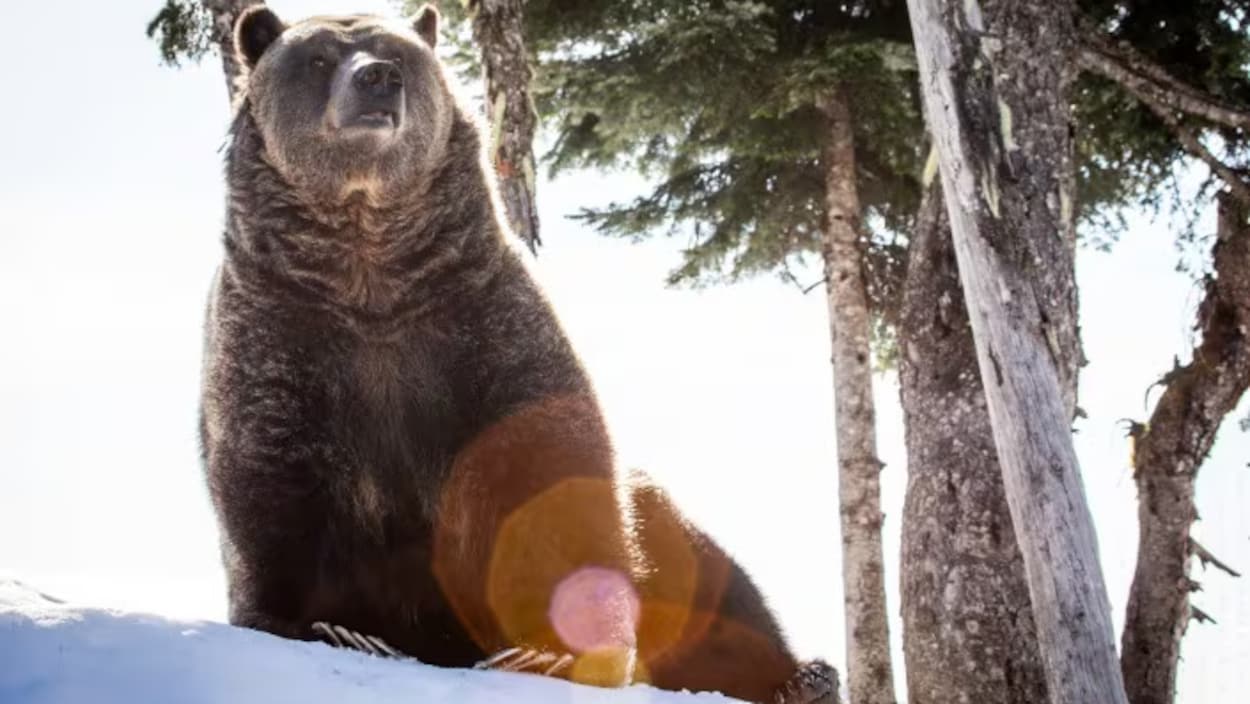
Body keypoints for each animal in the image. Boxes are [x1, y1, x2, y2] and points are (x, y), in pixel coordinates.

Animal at [199, 4, 836, 702]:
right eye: (318, 58)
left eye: (400, 53)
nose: (378, 79)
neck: (370, 270)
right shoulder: (282, 336)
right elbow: (269, 474)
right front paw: (330, 628)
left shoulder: (480, 323)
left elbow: (548, 464)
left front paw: (552, 651)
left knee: (702, 567)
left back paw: (801, 675)